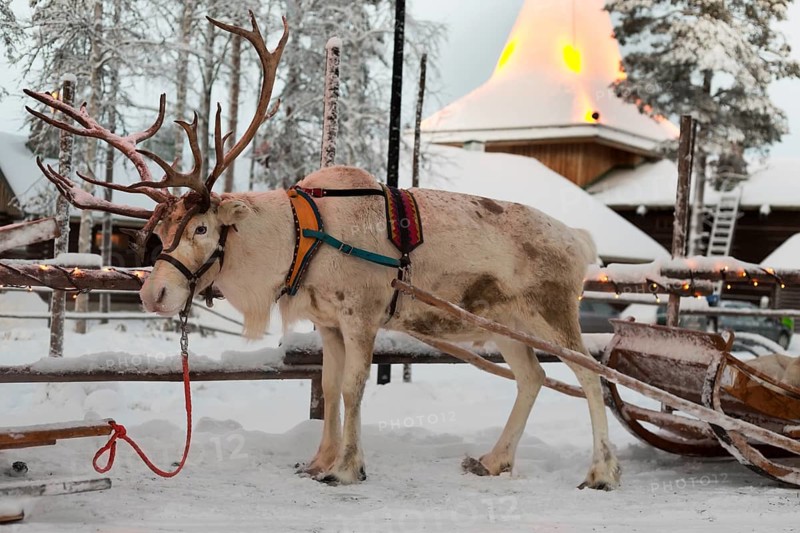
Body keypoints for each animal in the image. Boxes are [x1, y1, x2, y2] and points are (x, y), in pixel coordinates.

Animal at [25, 13, 621, 490]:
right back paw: (495, 460)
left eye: (200, 227)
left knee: (591, 375)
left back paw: (601, 472)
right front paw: (319, 461)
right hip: (505, 323)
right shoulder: (328, 323)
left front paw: (348, 468)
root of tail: (580, 240)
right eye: (159, 230)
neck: (298, 241)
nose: (154, 294)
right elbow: (331, 388)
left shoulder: (361, 316)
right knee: (533, 377)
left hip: (552, 311)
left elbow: (355, 388)